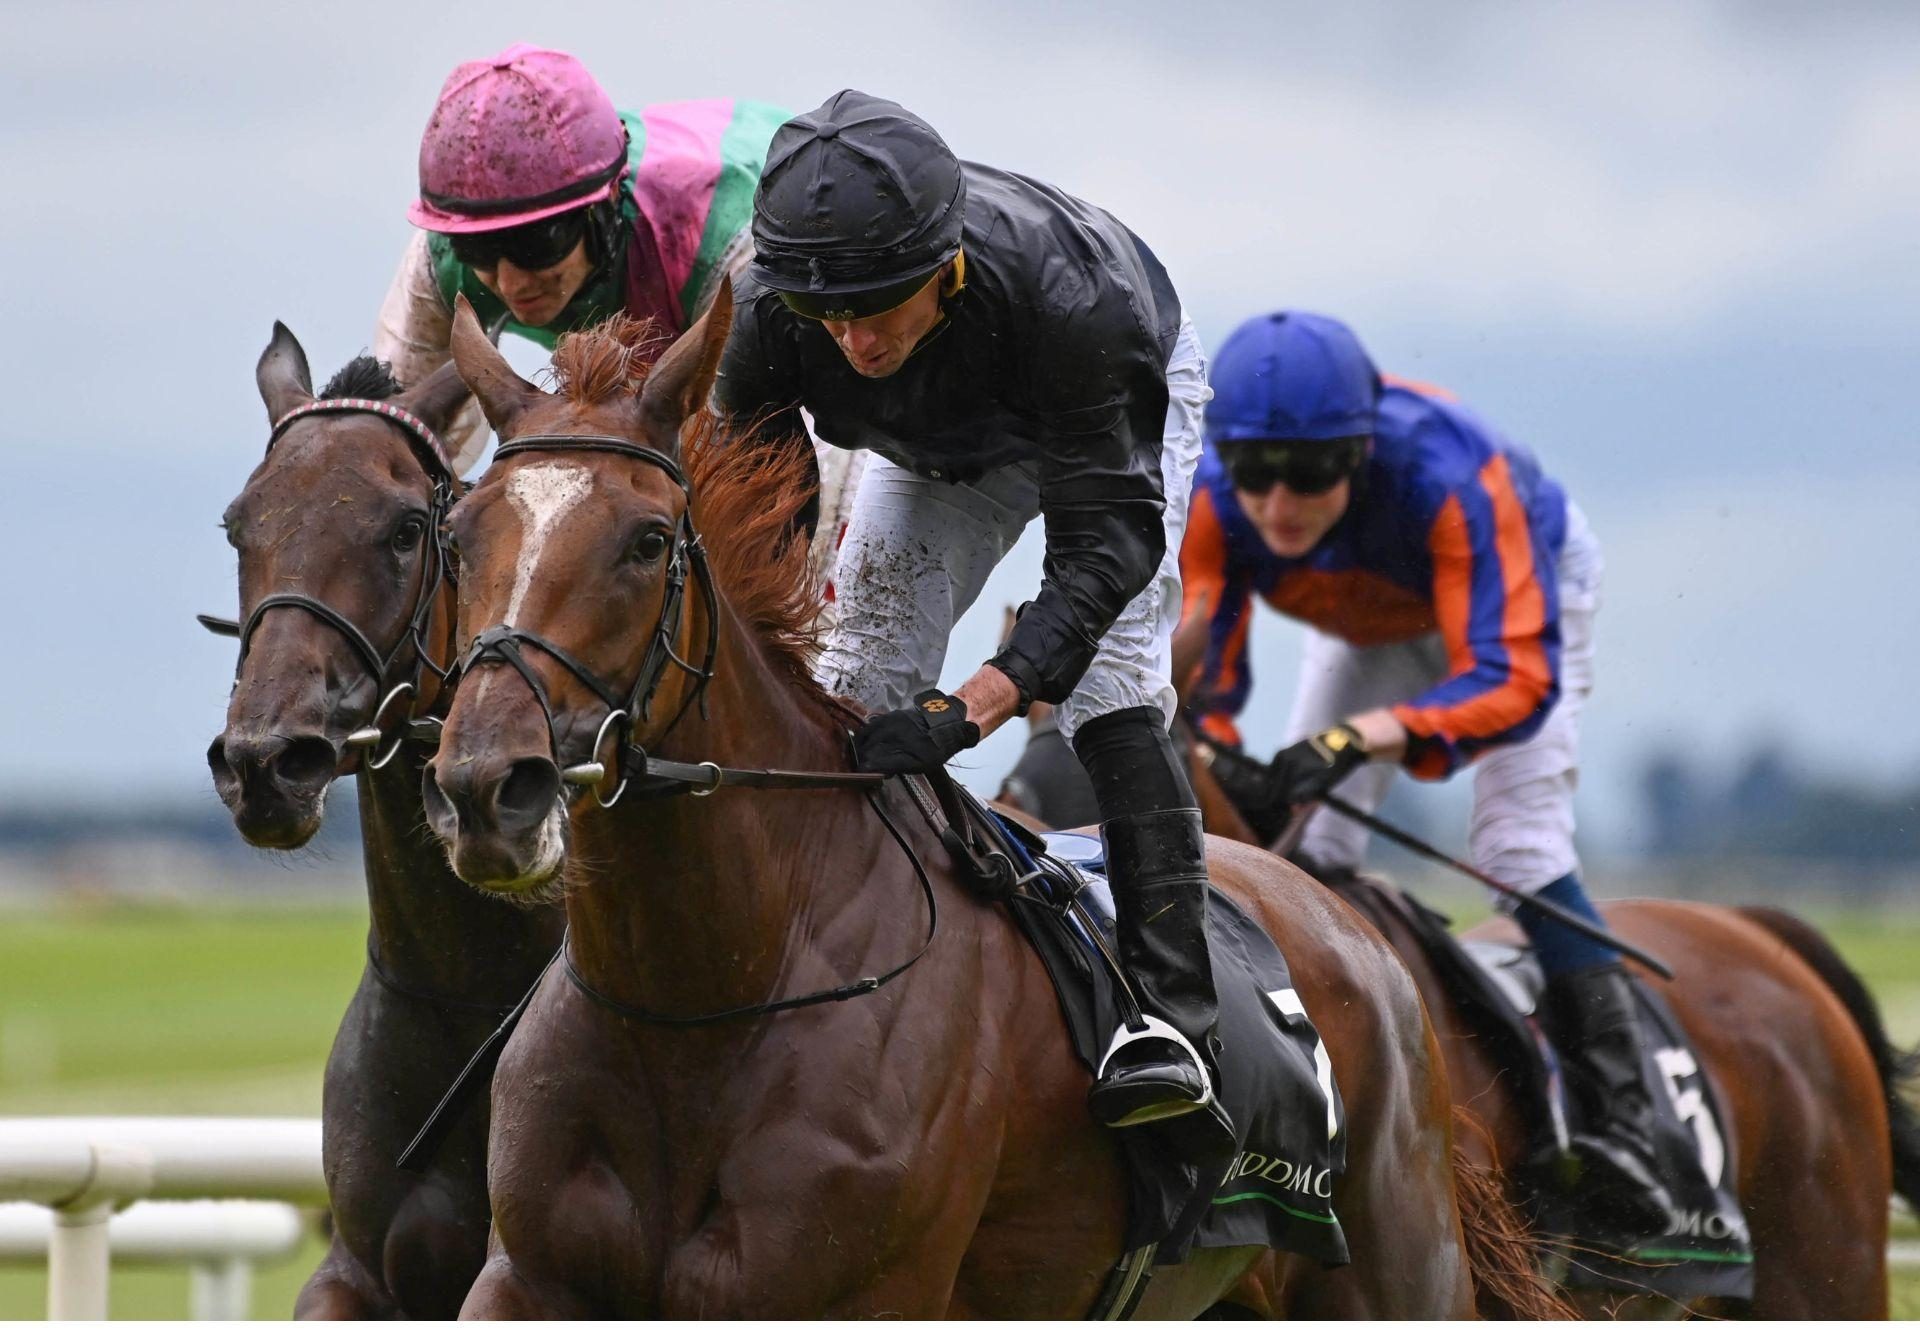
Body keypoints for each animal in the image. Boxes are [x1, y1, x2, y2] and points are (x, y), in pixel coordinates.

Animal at [412, 293, 1566, 1321]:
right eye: (457, 534)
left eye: (649, 540)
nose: (486, 786)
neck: (709, 993)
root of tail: (1360, 933)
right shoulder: (526, 1282)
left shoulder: (853, 1295)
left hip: (1396, 1271)